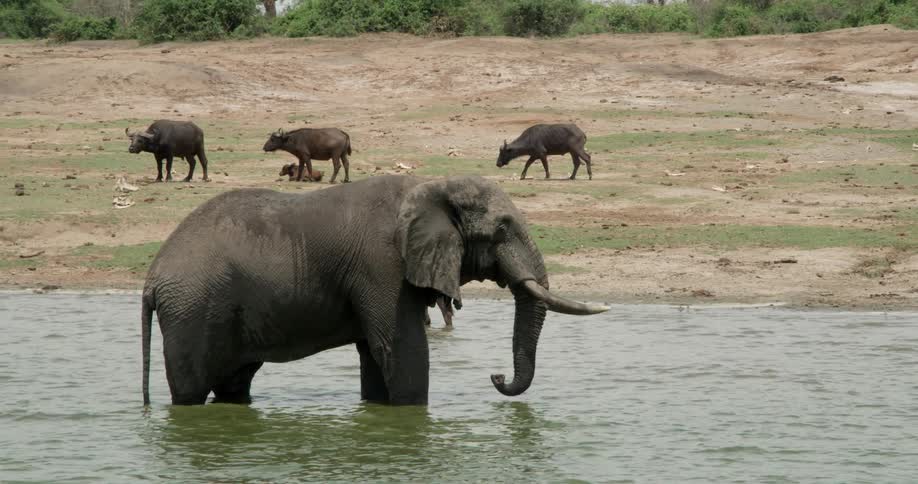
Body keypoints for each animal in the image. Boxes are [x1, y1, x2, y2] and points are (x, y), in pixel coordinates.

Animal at [141, 175, 608, 406]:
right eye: (504, 229)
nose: (495, 376)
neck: (431, 186)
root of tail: (152, 276)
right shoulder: (381, 264)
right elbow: (400, 350)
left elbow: (375, 353)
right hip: (191, 310)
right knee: (189, 389)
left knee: (234, 385)